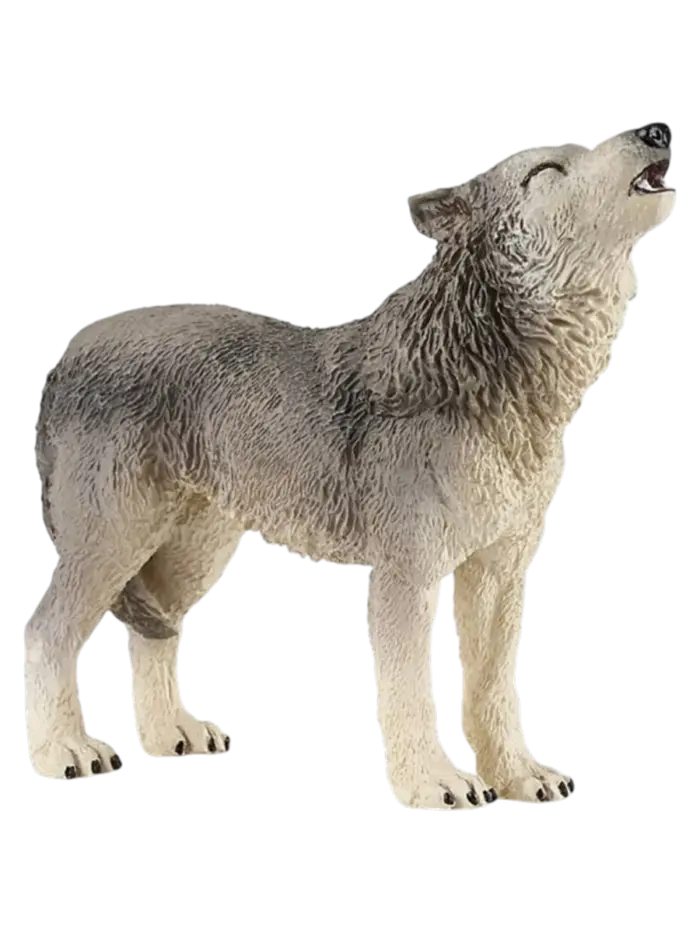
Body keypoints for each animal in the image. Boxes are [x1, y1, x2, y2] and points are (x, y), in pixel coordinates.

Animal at [26, 126, 677, 805]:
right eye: (545, 170)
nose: (653, 132)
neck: (500, 378)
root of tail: (72, 350)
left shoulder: (499, 574)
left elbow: (494, 691)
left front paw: (520, 776)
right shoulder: (406, 575)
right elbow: (409, 691)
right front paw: (436, 785)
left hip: (194, 556)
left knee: (155, 632)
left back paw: (170, 736)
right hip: (114, 544)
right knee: (47, 633)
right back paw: (63, 750)